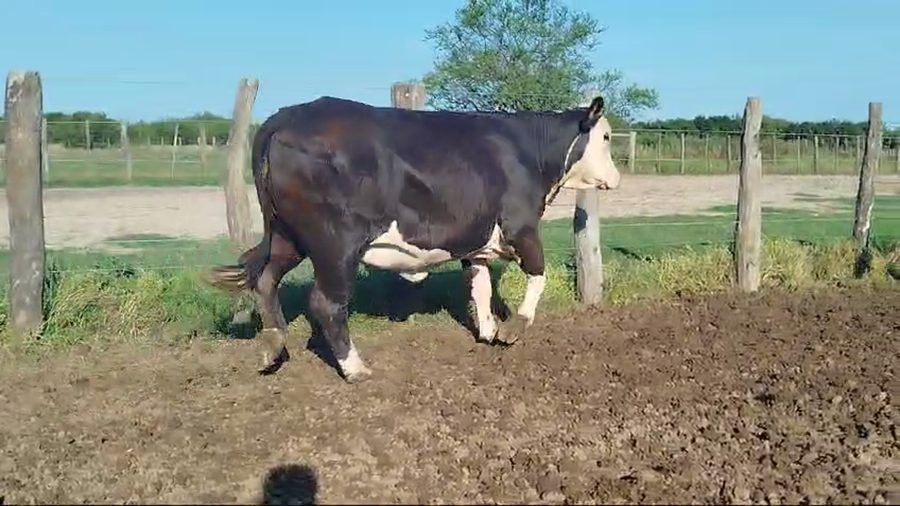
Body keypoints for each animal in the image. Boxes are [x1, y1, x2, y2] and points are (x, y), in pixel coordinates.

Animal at [207, 94, 621, 383]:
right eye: (605, 136)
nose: (616, 179)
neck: (527, 152)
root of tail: (288, 115)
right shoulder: (521, 226)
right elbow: (538, 273)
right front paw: (513, 328)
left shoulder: (475, 238)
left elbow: (480, 285)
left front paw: (488, 330)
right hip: (335, 243)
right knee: (326, 304)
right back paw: (354, 368)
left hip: (286, 235)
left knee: (266, 280)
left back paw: (273, 346)